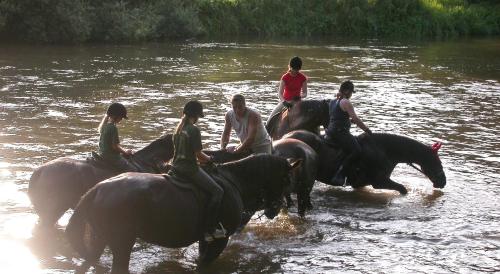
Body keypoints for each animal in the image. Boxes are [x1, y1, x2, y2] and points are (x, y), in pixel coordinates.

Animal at [66, 154, 300, 274]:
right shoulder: (219, 241)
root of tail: (97, 189)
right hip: (121, 244)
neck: (234, 181)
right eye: (287, 179)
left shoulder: (206, 240)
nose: (274, 209)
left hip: (99, 239)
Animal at [284, 130, 448, 193]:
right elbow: (402, 189)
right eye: (436, 162)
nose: (443, 181)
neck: (385, 150)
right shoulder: (380, 182)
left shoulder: (360, 184)